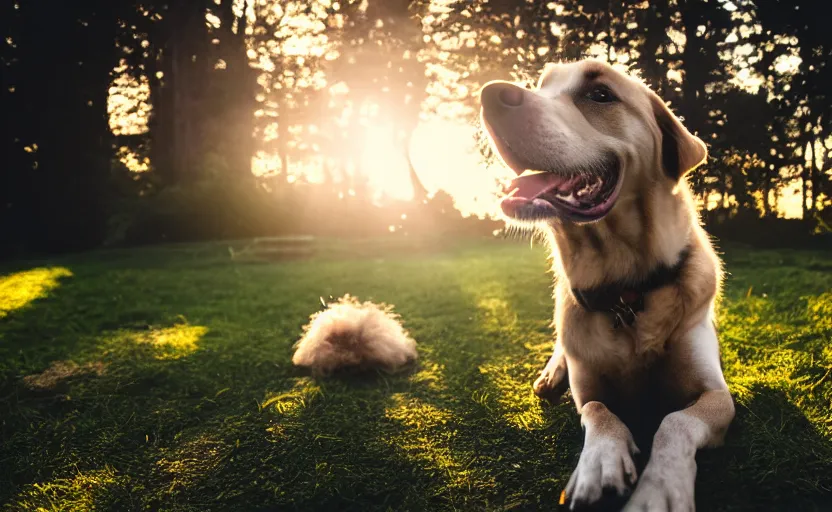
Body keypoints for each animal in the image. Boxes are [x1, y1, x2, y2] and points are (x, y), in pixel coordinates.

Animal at [478, 58, 736, 510]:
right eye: (542, 85)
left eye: (600, 95)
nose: (489, 94)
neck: (626, 291)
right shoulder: (589, 388)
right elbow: (599, 410)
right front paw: (599, 463)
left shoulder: (717, 396)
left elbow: (675, 421)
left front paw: (660, 488)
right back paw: (551, 374)